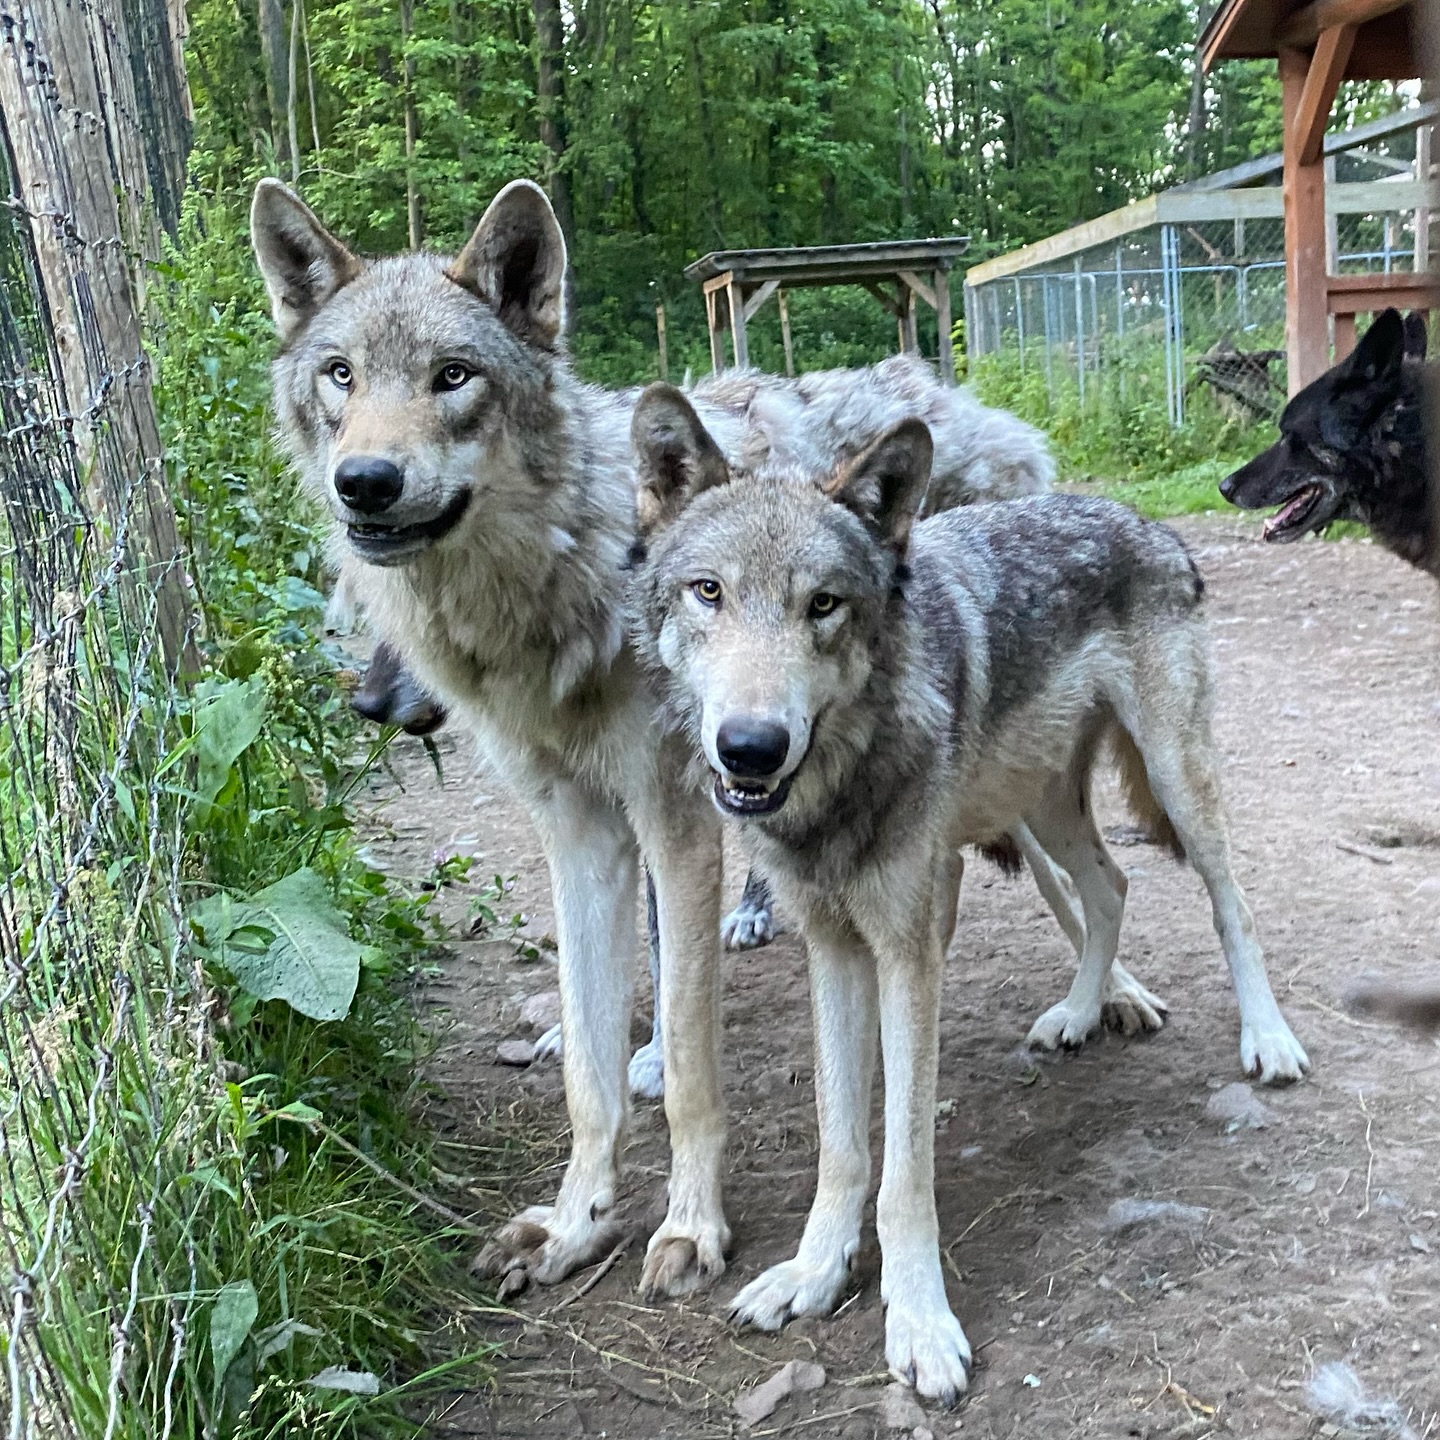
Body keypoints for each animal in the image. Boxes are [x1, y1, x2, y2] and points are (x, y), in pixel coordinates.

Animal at [627, 388, 1307, 1399]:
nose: (751, 748)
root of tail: (1141, 520)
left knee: (1231, 901)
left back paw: (1268, 1040)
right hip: (1044, 805)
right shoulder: (834, 948)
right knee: (1110, 886)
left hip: (1176, 779)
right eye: (708, 592)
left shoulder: (913, 947)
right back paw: (1078, 1014)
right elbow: (842, 1142)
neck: (846, 782)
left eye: (823, 605)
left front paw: (918, 1322)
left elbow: (905, 1169)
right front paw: (813, 1273)